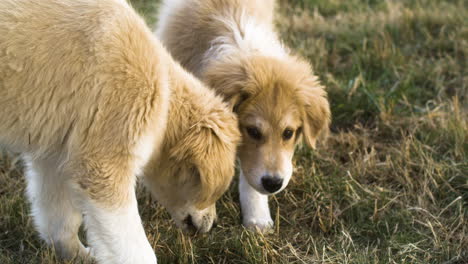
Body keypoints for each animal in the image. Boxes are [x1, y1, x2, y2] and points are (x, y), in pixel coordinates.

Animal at [0, 1, 239, 262]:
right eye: (213, 192)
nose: (211, 224)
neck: (165, 94)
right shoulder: (118, 109)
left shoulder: (60, 140)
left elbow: (57, 207)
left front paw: (80, 254)